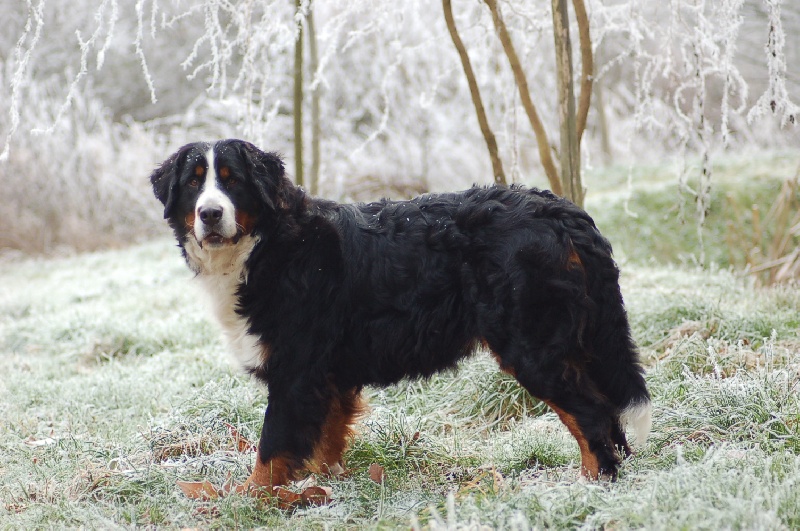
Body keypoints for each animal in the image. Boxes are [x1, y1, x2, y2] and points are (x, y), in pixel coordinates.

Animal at [150, 139, 651, 489]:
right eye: (194, 182)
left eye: (232, 180)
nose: (210, 214)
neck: (269, 246)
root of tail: (561, 210)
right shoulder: (328, 376)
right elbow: (325, 440)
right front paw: (327, 488)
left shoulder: (295, 370)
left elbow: (272, 448)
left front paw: (251, 497)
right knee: (606, 413)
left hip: (533, 347)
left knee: (591, 413)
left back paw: (591, 483)